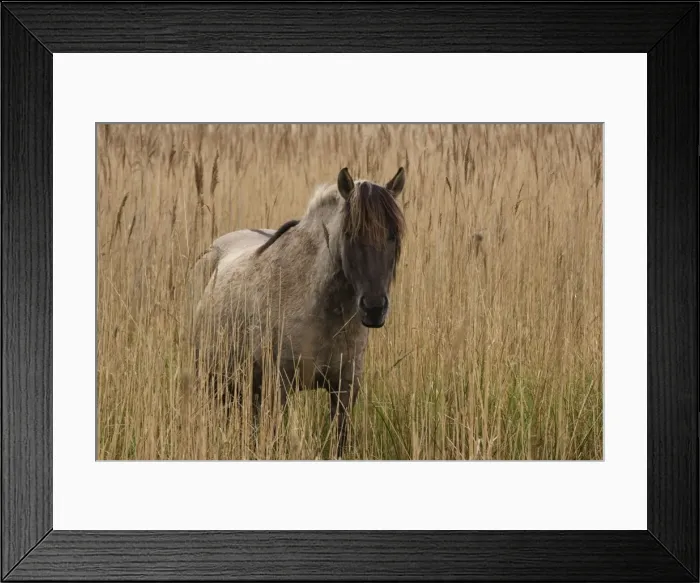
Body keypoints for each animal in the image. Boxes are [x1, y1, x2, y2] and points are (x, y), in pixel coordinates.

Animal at [187, 166, 406, 458]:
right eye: (350, 234)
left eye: (392, 235)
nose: (374, 308)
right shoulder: (278, 390)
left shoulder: (345, 390)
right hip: (215, 383)